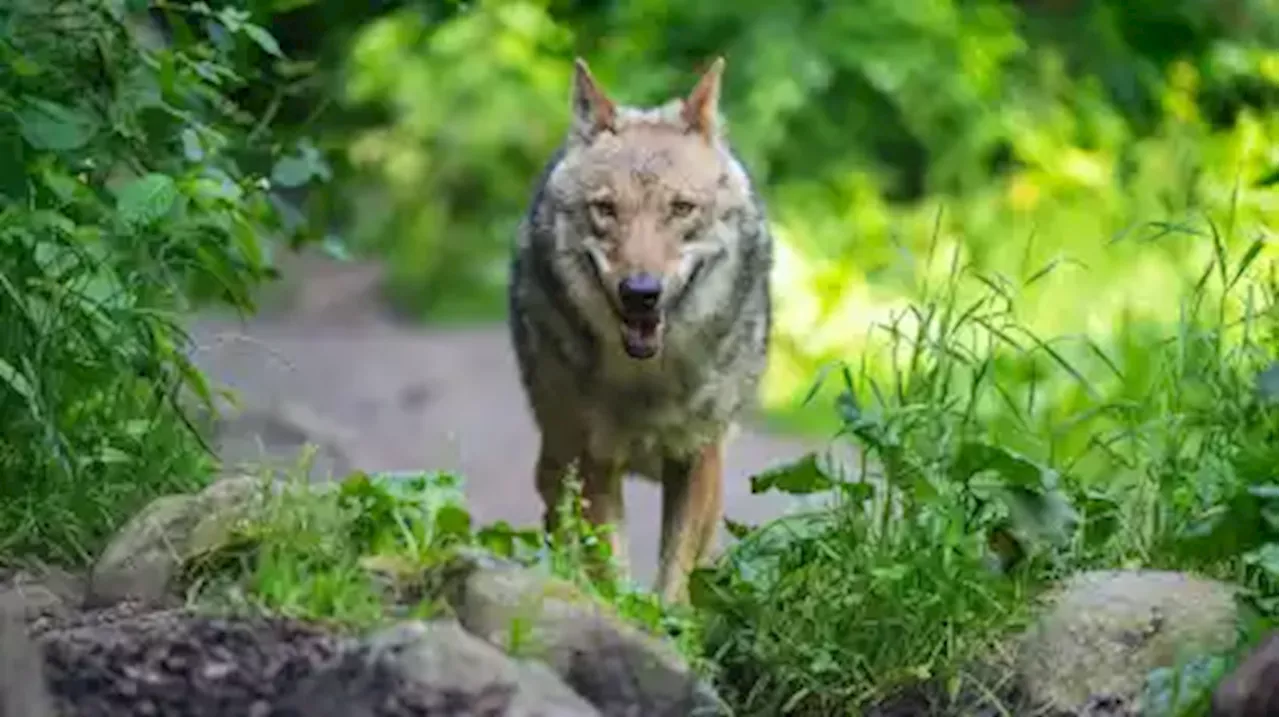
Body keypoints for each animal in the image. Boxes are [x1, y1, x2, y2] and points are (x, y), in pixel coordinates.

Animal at [506, 57, 768, 604]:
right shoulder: (593, 461)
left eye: (681, 209)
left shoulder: (697, 456)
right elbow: (611, 570)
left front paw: (666, 620)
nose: (641, 292)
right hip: (558, 449)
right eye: (606, 209)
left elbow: (675, 576)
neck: (648, 382)